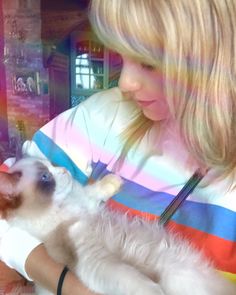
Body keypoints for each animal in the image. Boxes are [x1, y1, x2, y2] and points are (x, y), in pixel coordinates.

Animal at [0, 157, 234, 295]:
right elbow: (133, 280)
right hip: (176, 275)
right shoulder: (90, 258)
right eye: (45, 176)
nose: (65, 170)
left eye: (53, 165)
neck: (69, 205)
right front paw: (155, 291)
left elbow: (94, 190)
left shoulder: (89, 204)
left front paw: (112, 181)